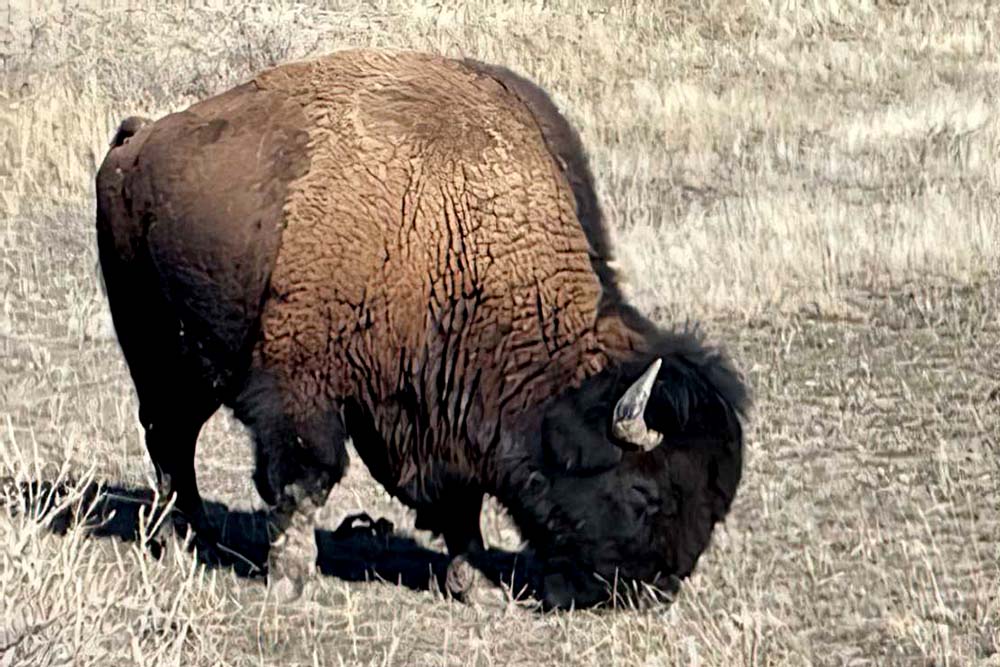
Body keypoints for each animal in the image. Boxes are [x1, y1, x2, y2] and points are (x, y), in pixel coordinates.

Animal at [95, 48, 749, 609]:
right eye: (646, 493)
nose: (660, 585)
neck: (450, 221)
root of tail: (137, 141)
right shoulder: (302, 387)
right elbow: (306, 478)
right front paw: (291, 577)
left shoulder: (440, 409)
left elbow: (460, 501)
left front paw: (476, 584)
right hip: (154, 348)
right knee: (169, 436)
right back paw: (184, 534)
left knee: (174, 435)